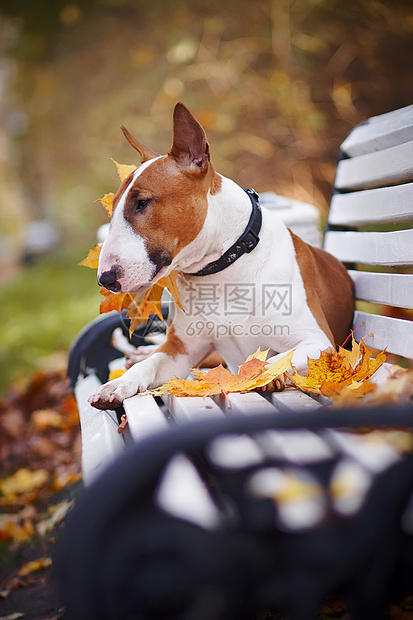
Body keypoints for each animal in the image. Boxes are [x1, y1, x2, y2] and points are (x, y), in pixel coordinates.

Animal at [88, 103, 352, 412]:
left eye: (142, 202)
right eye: (113, 208)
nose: (105, 279)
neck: (222, 270)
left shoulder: (319, 342)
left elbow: (263, 362)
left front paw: (261, 378)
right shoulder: (181, 350)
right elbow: (151, 364)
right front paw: (117, 384)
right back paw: (138, 354)